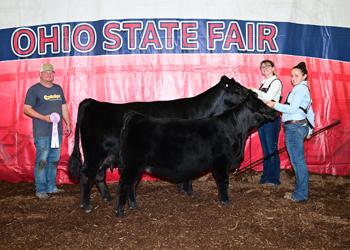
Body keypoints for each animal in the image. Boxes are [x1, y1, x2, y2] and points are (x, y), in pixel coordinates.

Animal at [67, 75, 249, 212]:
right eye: (238, 88)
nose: (251, 92)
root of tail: (93, 102)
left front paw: (182, 188)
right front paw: (188, 190)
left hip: (104, 156)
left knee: (99, 175)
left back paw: (108, 197)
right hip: (94, 153)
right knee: (87, 174)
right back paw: (86, 205)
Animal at [116, 91, 278, 217]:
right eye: (262, 106)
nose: (276, 112)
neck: (239, 132)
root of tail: (135, 116)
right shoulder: (221, 163)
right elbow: (223, 182)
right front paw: (225, 201)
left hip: (137, 167)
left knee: (132, 185)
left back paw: (133, 206)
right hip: (133, 165)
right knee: (124, 185)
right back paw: (120, 212)